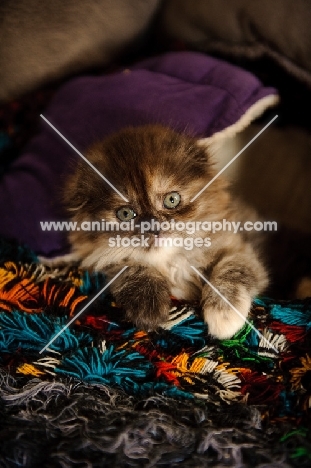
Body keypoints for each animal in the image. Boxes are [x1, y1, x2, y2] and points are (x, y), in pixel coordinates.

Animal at [62, 126, 268, 338]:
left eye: (172, 200)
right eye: (125, 214)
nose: (153, 227)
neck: (171, 260)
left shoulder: (239, 250)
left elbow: (231, 271)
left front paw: (224, 317)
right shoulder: (105, 258)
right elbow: (132, 266)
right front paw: (148, 307)